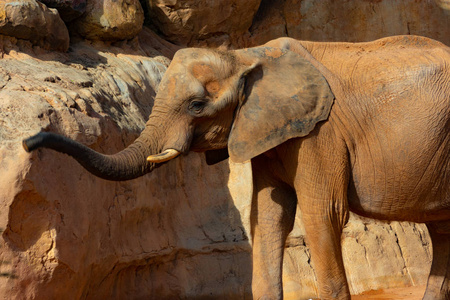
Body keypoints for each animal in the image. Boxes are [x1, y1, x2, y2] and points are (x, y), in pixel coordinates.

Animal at [23, 35, 450, 300]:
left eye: (196, 106)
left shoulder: (320, 134)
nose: (29, 142)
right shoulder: (268, 129)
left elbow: (322, 214)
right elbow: (269, 213)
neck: (246, 55)